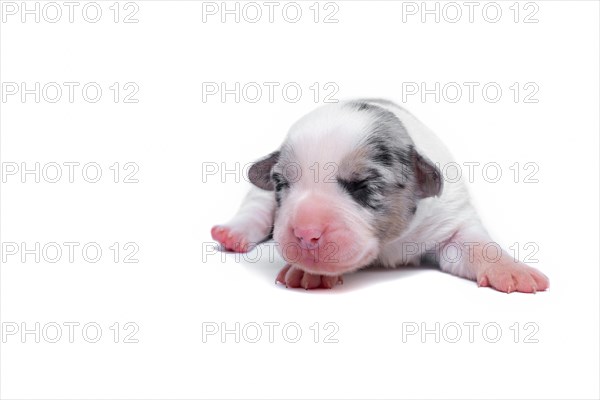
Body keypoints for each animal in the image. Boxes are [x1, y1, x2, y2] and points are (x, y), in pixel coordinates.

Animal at [210, 99, 548, 294]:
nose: (305, 234)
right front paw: (308, 272)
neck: (390, 244)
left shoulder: (451, 219)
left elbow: (476, 244)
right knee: (255, 208)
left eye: (363, 187)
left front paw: (512, 270)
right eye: (281, 184)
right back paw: (232, 234)